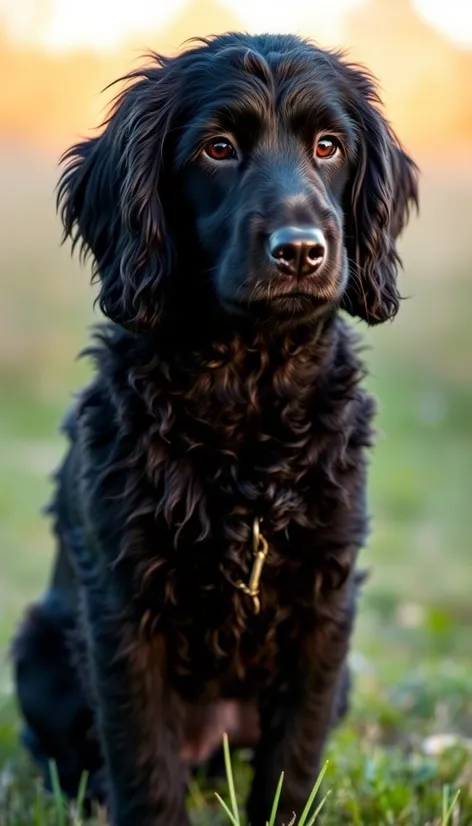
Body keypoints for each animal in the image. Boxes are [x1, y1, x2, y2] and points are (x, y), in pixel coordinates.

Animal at [11, 32, 416, 824]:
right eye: (218, 149)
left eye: (328, 145)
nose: (301, 251)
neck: (246, 402)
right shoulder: (123, 608)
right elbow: (144, 763)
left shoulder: (325, 607)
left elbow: (293, 762)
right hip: (39, 649)